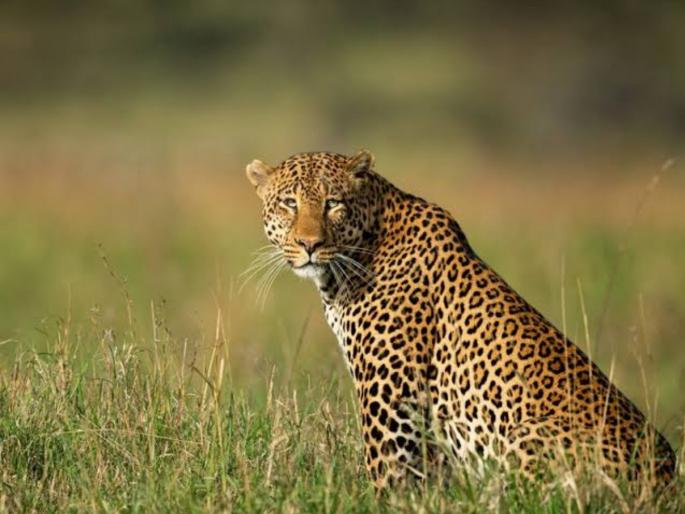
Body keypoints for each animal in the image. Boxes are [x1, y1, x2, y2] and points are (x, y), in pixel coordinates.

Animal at [245, 150, 676, 489]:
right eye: (289, 203)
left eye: (333, 203)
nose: (310, 244)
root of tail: (666, 479)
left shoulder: (391, 398)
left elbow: (388, 476)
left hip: (526, 437)